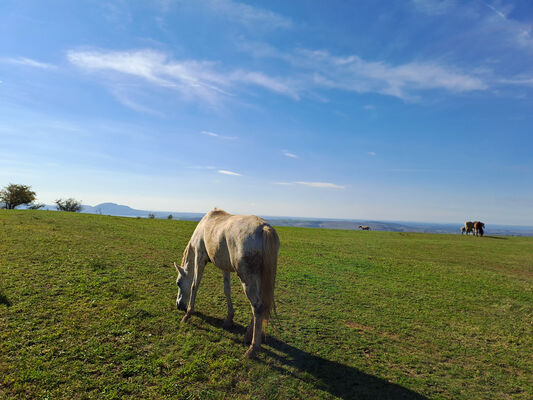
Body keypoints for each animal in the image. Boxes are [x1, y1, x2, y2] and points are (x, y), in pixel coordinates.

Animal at [176, 208, 282, 358]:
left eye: (178, 283)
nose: (178, 305)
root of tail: (264, 228)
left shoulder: (199, 258)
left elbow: (194, 286)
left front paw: (187, 315)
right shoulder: (224, 267)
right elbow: (227, 290)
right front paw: (229, 319)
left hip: (247, 278)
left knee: (257, 306)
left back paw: (252, 348)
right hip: (259, 277)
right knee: (258, 306)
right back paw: (248, 336)